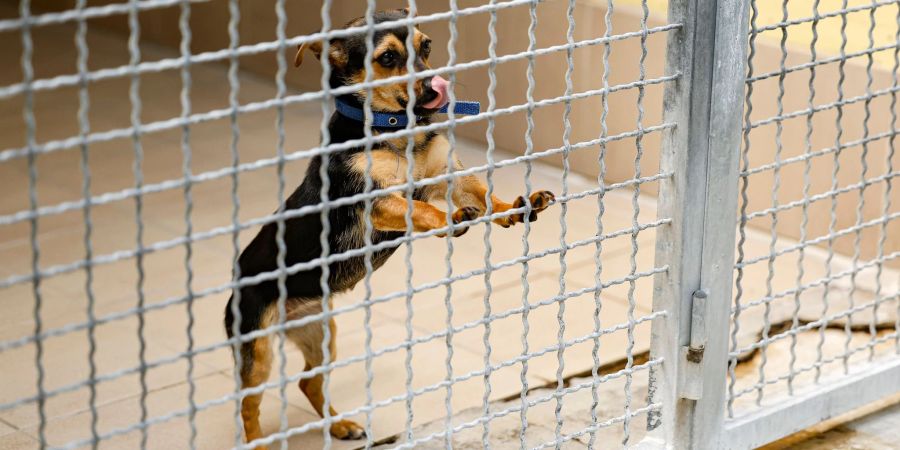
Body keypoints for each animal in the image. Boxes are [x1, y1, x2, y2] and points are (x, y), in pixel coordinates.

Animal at [225, 8, 556, 448]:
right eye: (386, 58)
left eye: (426, 46)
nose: (435, 85)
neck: (395, 127)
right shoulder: (374, 201)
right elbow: (420, 208)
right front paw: (450, 221)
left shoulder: (450, 177)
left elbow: (483, 194)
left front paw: (515, 207)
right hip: (257, 347)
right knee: (249, 403)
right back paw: (260, 439)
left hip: (320, 333)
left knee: (308, 383)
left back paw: (341, 426)